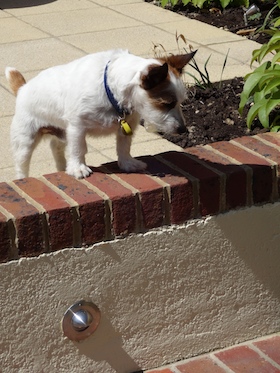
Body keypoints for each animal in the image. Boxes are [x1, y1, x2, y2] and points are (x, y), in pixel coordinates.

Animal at [6, 48, 195, 179]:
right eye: (167, 103)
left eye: (181, 102)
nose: (183, 130)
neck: (110, 89)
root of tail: (22, 88)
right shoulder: (77, 127)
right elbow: (78, 148)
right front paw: (78, 168)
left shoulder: (127, 125)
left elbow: (124, 147)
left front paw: (127, 163)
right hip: (25, 140)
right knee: (22, 164)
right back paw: (23, 179)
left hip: (61, 132)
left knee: (56, 147)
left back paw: (62, 167)